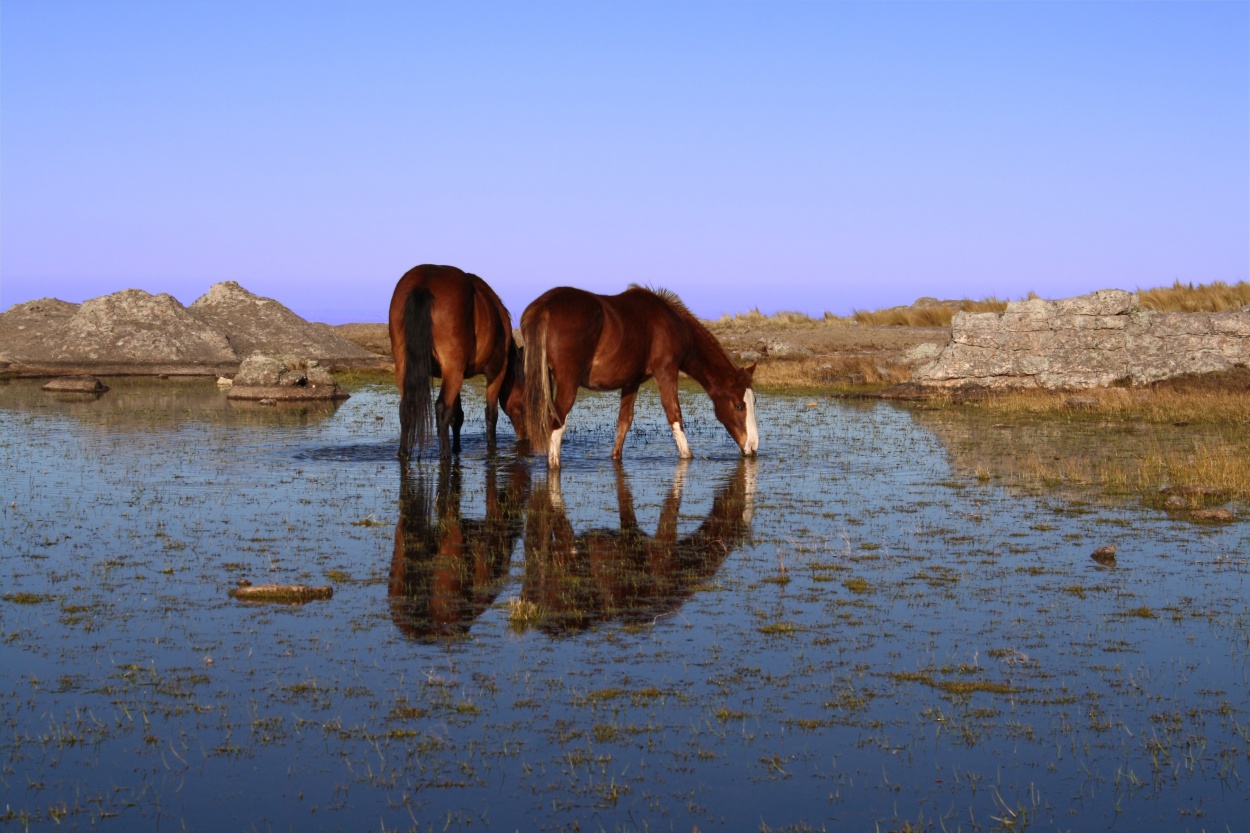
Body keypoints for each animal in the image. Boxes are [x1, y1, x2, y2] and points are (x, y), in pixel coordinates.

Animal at [390, 263, 527, 455]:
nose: (526, 436)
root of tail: (424, 282)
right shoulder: (495, 373)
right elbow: (491, 414)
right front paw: (491, 449)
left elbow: (458, 416)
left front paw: (457, 448)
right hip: (453, 372)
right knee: (441, 409)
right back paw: (445, 455)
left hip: (406, 368)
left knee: (406, 409)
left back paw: (404, 453)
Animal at [520, 285, 755, 467]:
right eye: (738, 406)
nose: (752, 447)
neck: (673, 323)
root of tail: (544, 307)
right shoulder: (666, 372)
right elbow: (674, 414)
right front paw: (687, 456)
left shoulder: (631, 382)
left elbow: (624, 421)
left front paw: (616, 457)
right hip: (568, 384)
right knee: (556, 425)